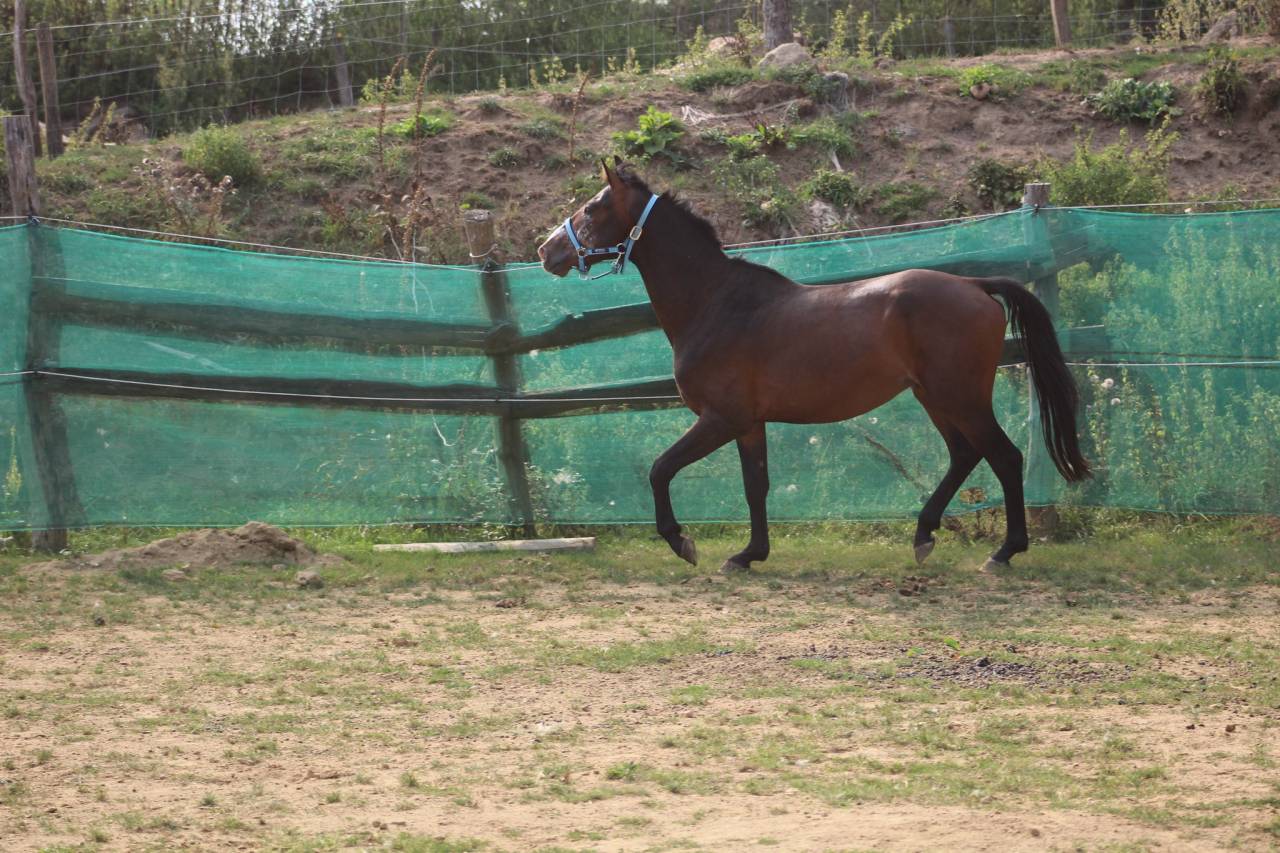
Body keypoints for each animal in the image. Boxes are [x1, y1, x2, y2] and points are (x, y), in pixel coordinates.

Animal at [537, 161, 1090, 573]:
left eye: (591, 207)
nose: (547, 250)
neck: (716, 303)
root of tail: (976, 286)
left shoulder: (719, 419)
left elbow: (660, 469)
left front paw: (682, 543)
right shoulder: (748, 424)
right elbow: (755, 487)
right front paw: (748, 555)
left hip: (961, 396)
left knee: (1005, 457)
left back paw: (1003, 552)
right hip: (934, 397)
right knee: (964, 456)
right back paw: (923, 534)